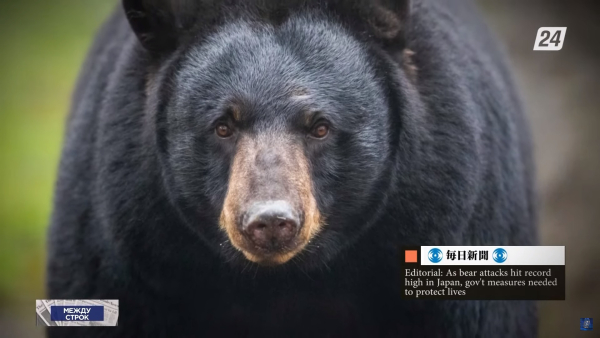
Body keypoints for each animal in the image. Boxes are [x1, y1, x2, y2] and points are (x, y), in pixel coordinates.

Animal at [47, 0, 536, 336]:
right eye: (223, 126)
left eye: (320, 127)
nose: (269, 221)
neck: (284, 283)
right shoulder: (128, 250)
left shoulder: (451, 216)